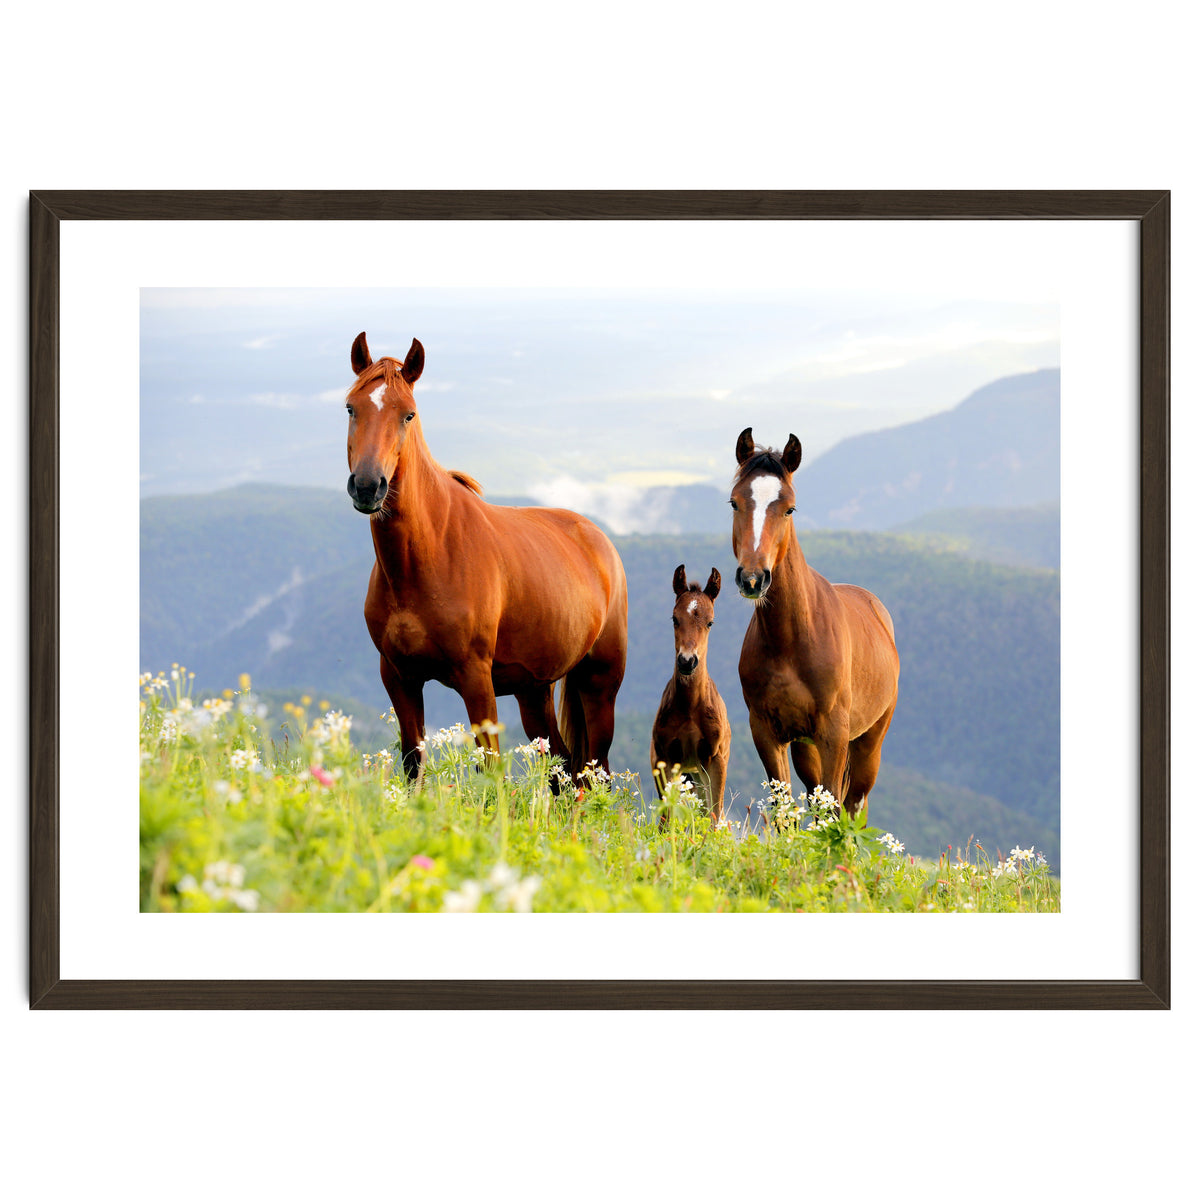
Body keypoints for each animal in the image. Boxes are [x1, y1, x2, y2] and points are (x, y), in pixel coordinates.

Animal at [344, 332, 628, 780]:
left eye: (408, 415)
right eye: (351, 407)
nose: (369, 486)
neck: (427, 558)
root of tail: (600, 541)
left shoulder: (476, 678)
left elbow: (491, 769)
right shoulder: (399, 676)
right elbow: (412, 763)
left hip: (599, 683)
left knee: (592, 772)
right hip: (534, 691)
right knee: (562, 767)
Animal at [650, 565, 731, 825]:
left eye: (710, 622)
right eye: (675, 619)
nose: (687, 661)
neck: (690, 707)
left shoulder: (715, 759)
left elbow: (714, 816)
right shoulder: (665, 758)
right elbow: (666, 818)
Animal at [730, 427, 899, 820]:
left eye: (789, 508)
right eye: (734, 503)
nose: (752, 579)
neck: (791, 639)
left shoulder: (833, 734)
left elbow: (836, 807)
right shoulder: (767, 733)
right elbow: (784, 810)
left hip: (868, 742)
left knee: (854, 804)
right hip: (805, 748)